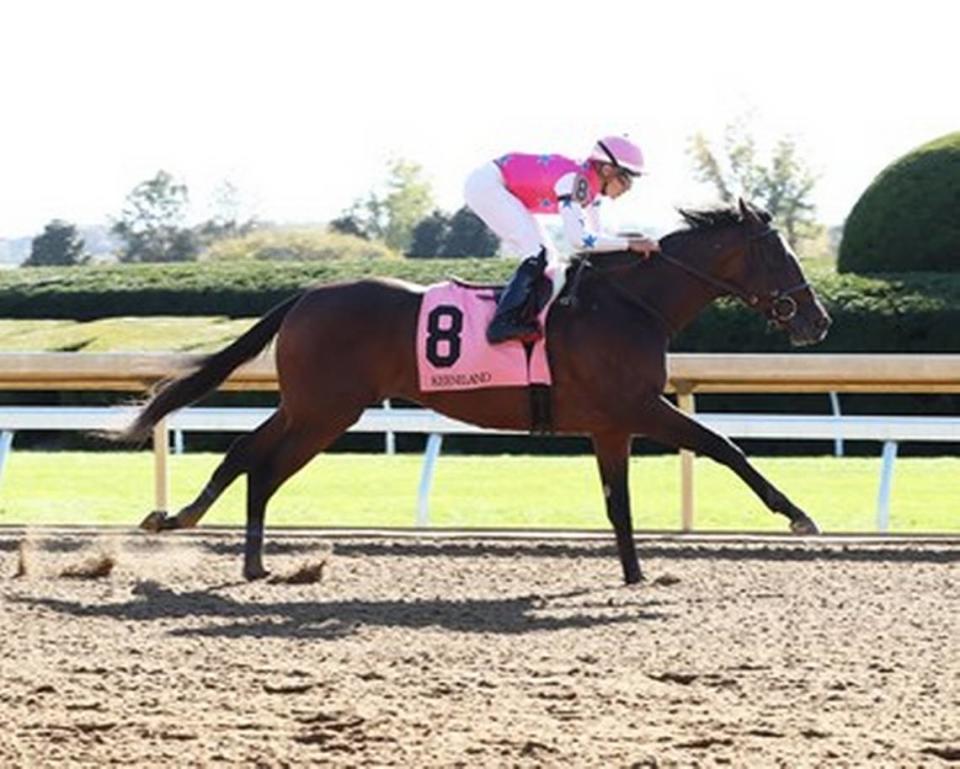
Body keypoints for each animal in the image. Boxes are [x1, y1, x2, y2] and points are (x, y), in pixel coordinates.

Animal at [127, 198, 832, 584]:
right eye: (779, 255)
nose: (817, 320)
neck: (628, 304)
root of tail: (307, 295)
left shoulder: (611, 424)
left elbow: (619, 504)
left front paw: (635, 574)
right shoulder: (637, 408)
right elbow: (723, 447)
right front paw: (798, 514)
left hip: (317, 408)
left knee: (257, 462)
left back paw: (237, 553)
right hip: (323, 408)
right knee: (252, 457)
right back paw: (184, 522)